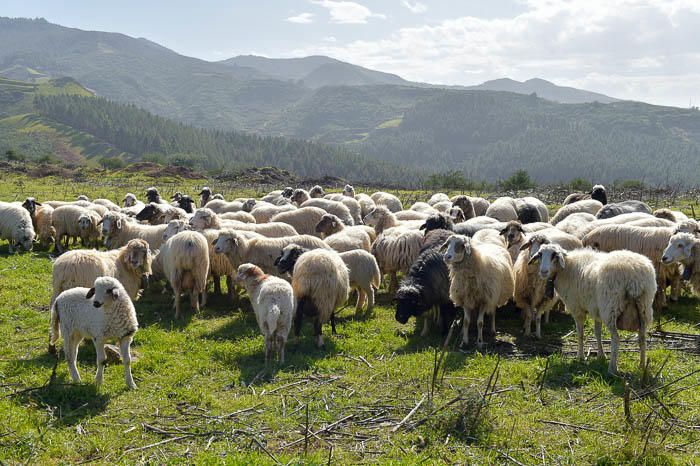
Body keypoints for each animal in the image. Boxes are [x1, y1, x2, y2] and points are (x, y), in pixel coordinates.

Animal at [532, 244, 656, 374]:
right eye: (540, 254)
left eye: (554, 255)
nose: (543, 271)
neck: (566, 268)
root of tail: (634, 277)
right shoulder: (596, 310)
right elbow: (597, 333)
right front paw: (601, 356)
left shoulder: (577, 308)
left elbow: (580, 334)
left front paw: (580, 357)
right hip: (644, 307)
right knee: (642, 337)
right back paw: (642, 365)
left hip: (610, 308)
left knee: (616, 338)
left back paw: (612, 369)